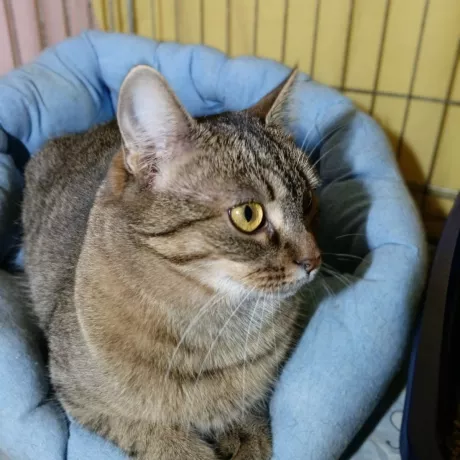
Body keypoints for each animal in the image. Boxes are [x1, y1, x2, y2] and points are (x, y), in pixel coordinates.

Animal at [22, 65, 321, 460]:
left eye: (308, 201)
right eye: (248, 214)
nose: (314, 259)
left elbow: (248, 413)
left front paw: (247, 437)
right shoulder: (79, 398)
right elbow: (156, 435)